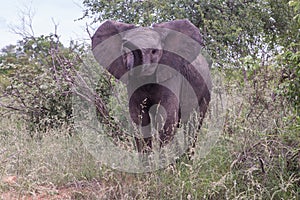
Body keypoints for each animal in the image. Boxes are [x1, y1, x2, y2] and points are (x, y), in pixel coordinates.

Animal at [92, 19, 212, 153]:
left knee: (194, 124)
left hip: (205, 90)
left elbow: (167, 117)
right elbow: (139, 119)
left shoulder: (171, 74)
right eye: (123, 51)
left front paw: (164, 158)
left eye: (154, 51)